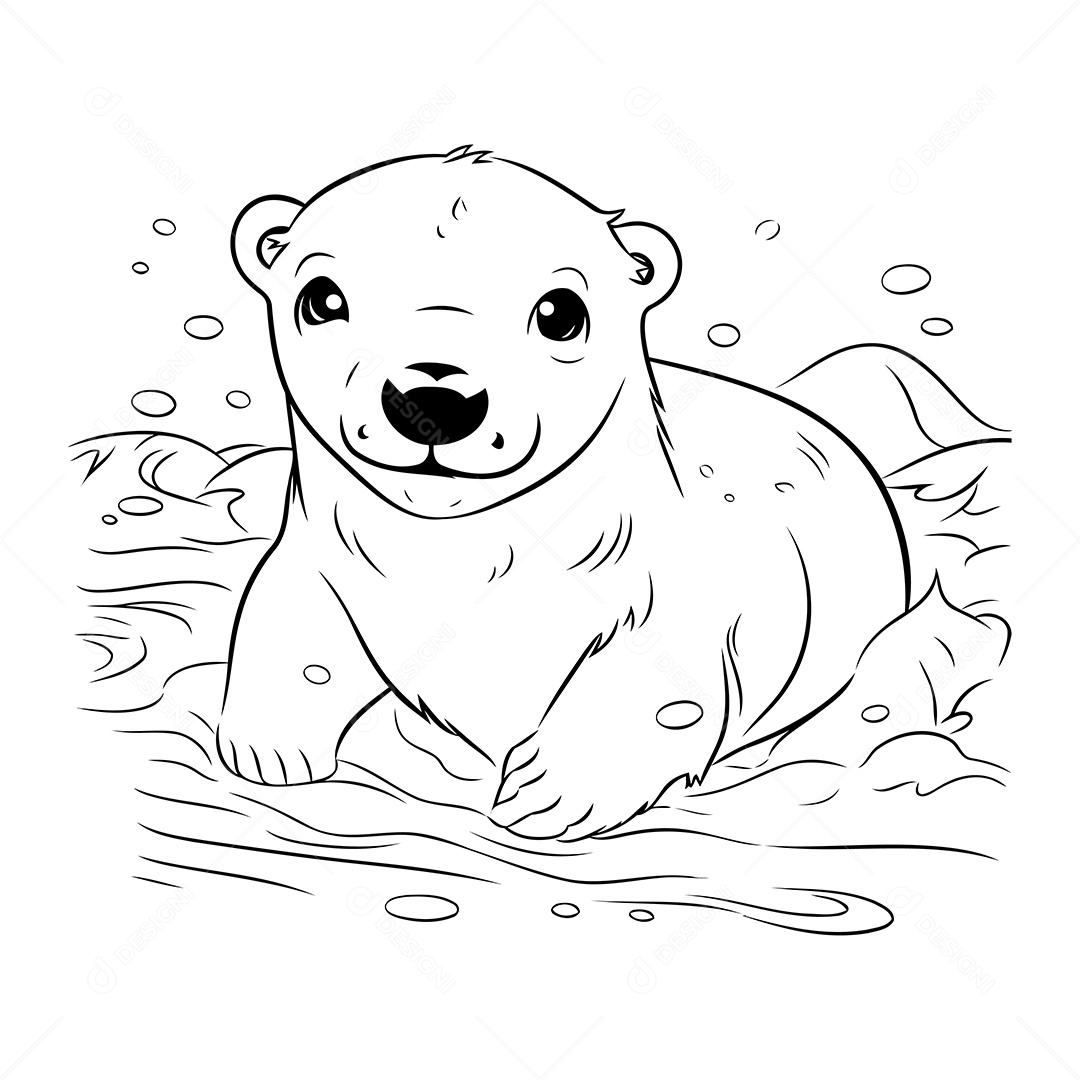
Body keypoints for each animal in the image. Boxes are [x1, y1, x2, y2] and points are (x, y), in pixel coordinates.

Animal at [219, 145, 908, 841]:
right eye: (321, 298)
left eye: (560, 312)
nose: (433, 397)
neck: (458, 551)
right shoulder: (331, 551)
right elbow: (295, 613)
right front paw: (269, 748)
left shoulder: (669, 568)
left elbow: (663, 679)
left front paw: (546, 793)